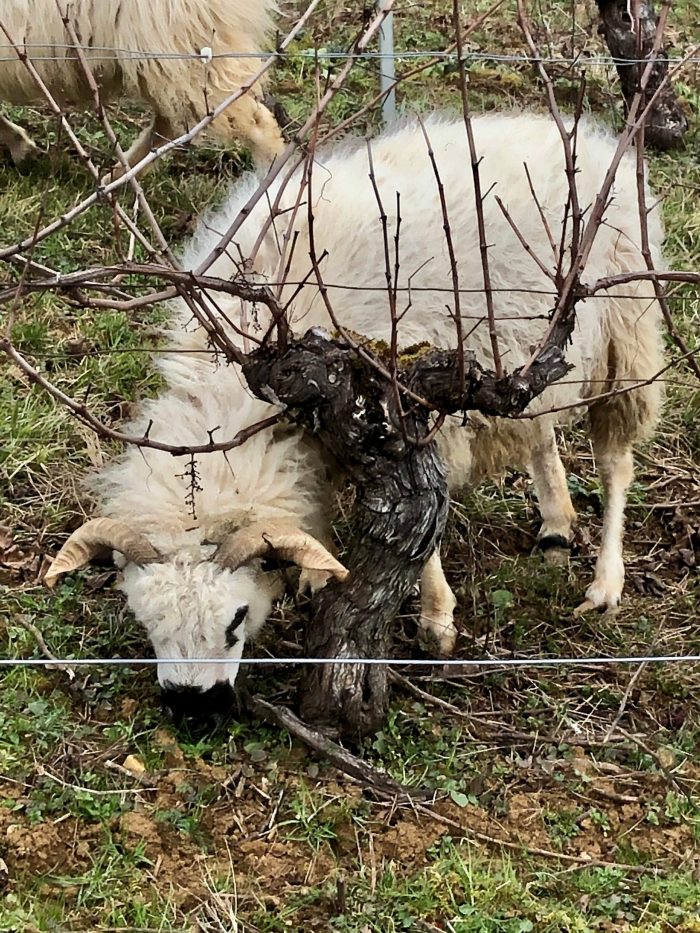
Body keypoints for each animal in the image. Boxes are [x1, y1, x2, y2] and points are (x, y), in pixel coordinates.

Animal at [0, 0, 284, 172]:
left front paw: (19, 147)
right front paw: (22, 147)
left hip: (182, 43)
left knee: (258, 124)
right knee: (169, 121)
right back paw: (120, 179)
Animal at [46, 111, 664, 719]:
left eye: (237, 620)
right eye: (146, 621)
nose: (193, 711)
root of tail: (586, 137)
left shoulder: (408, 408)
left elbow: (424, 524)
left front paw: (436, 622)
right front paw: (316, 574)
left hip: (624, 336)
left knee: (615, 464)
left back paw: (605, 584)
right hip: (526, 365)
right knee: (538, 428)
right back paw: (557, 522)